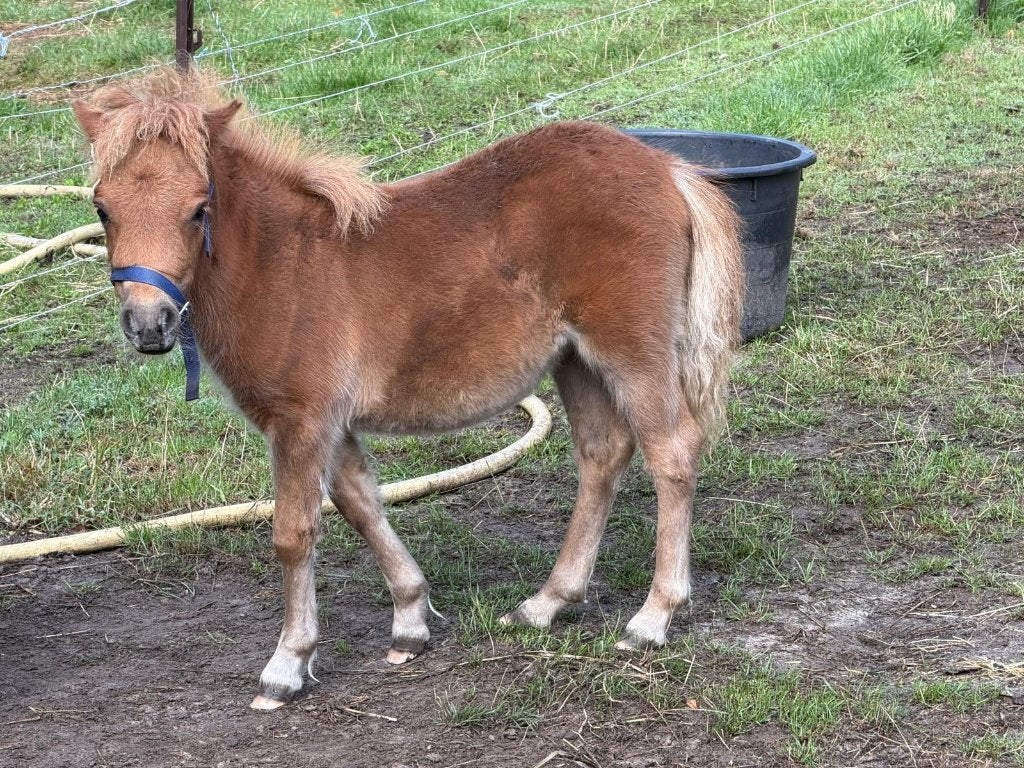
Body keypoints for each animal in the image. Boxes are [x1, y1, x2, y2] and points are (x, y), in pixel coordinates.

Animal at [72, 69, 744, 710]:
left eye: (198, 208)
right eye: (102, 208)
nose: (149, 324)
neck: (282, 263)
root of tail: (667, 169)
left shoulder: (301, 420)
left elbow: (294, 534)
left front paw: (287, 665)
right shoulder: (332, 424)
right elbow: (361, 503)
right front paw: (410, 620)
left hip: (632, 353)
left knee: (672, 453)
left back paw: (653, 618)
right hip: (577, 361)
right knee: (603, 455)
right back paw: (547, 602)